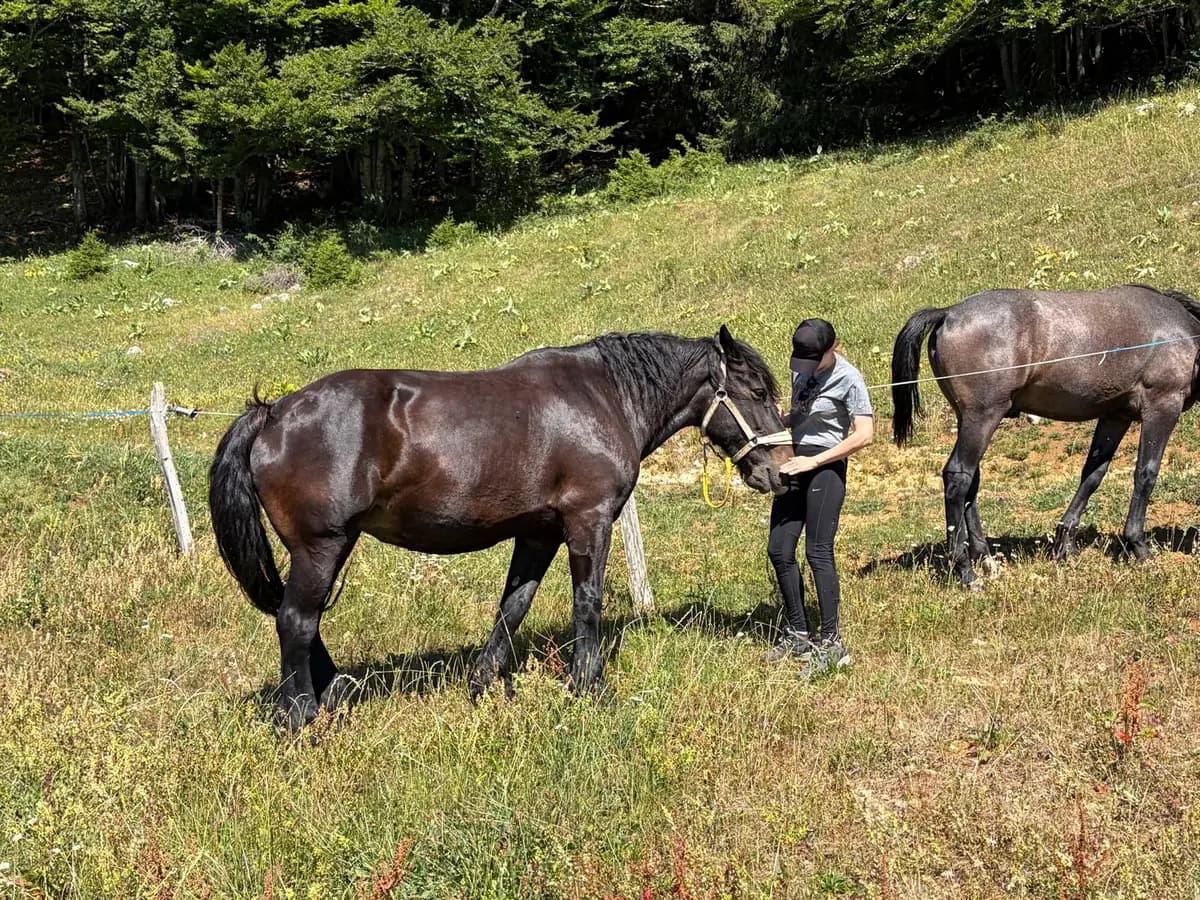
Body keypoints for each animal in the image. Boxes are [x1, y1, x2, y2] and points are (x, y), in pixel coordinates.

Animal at [210, 326, 788, 729]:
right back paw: (301, 717)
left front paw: (484, 684)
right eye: (758, 391)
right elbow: (588, 603)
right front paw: (589, 687)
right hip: (322, 546)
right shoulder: (589, 520)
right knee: (296, 622)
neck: (604, 397)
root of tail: (272, 414)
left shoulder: (538, 533)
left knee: (299, 622)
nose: (780, 473)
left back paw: (334, 694)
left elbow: (514, 606)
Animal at [891, 284, 1200, 586]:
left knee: (972, 483)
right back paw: (966, 571)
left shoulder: (1115, 416)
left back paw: (986, 559)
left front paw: (1065, 545)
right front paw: (1138, 546)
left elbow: (1092, 475)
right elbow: (1146, 474)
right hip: (983, 417)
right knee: (958, 477)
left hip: (968, 419)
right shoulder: (1162, 406)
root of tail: (949, 313)